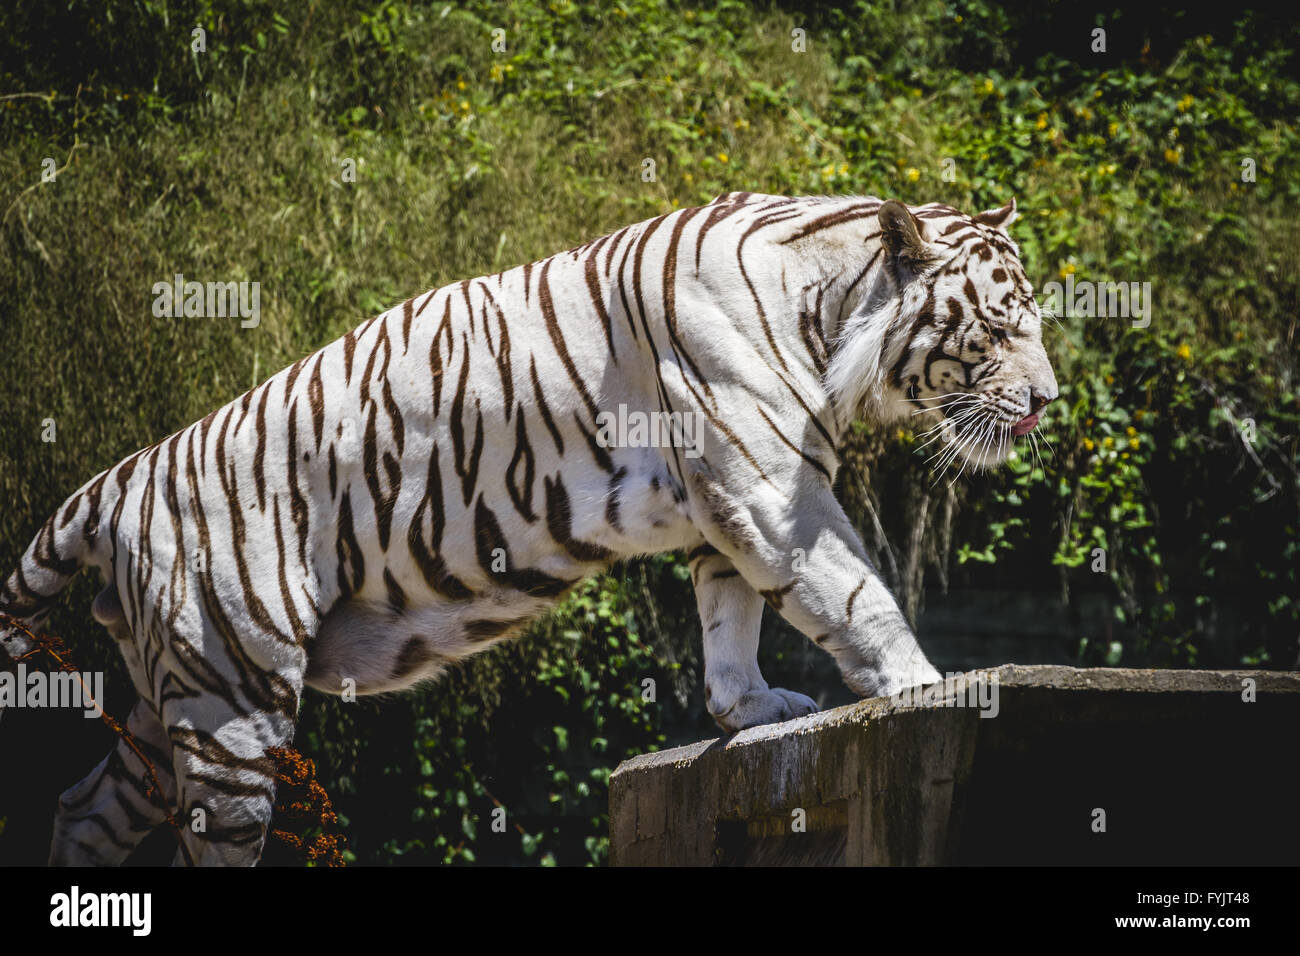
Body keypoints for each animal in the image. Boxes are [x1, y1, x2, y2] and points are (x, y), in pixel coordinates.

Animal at [0, 191, 1055, 863]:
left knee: (85, 807)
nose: (1047, 399)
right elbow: (852, 589)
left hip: (175, 689)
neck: (830, 309)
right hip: (233, 703)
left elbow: (730, 618)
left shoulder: (732, 501)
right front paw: (925, 684)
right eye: (1001, 329)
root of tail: (120, 480)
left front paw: (750, 709)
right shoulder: (768, 481)